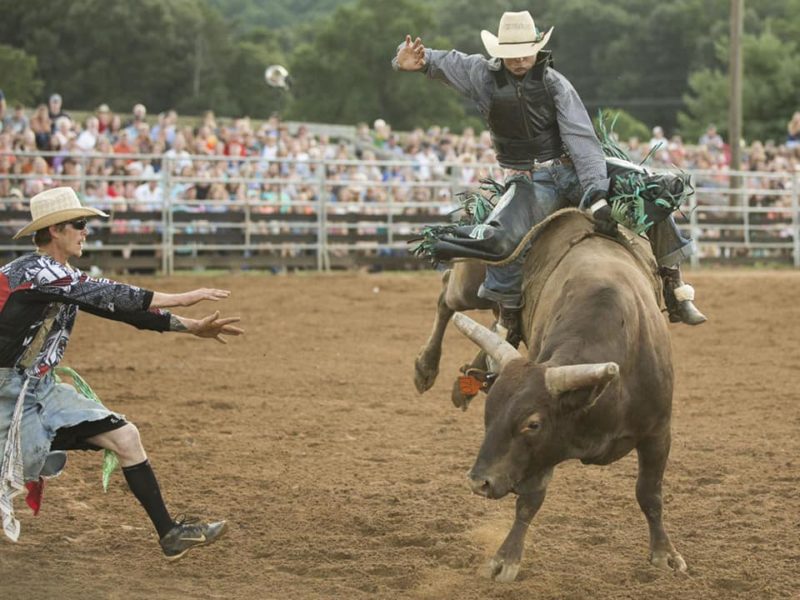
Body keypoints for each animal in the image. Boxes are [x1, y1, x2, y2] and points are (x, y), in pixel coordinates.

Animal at [428, 210, 684, 580]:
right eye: (489, 415)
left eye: (532, 424)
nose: (479, 483)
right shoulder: (543, 453)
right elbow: (530, 500)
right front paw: (505, 559)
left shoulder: (658, 432)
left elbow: (650, 494)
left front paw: (664, 554)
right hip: (472, 280)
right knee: (448, 293)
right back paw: (425, 367)